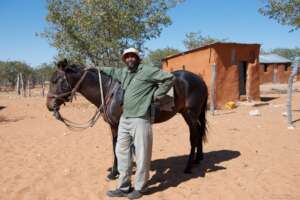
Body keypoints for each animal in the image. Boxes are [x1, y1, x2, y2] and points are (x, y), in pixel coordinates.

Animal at [46, 58, 209, 180]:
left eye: (55, 81)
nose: (49, 105)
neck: (108, 91)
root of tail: (200, 80)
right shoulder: (113, 126)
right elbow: (115, 146)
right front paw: (117, 171)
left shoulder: (119, 124)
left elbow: (119, 147)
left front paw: (116, 173)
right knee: (199, 133)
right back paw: (198, 159)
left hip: (190, 115)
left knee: (194, 137)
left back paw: (188, 167)